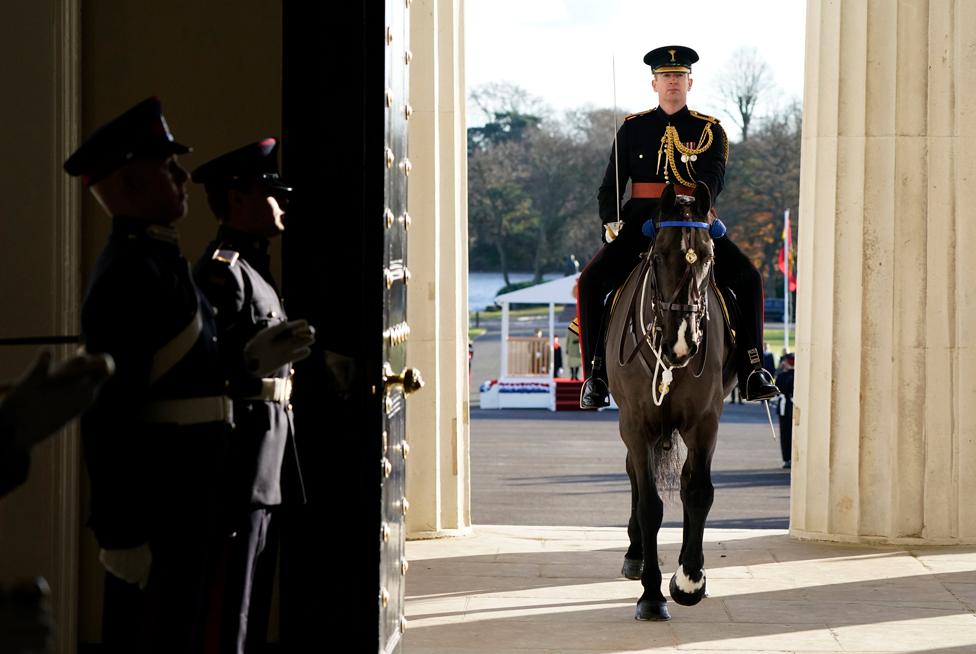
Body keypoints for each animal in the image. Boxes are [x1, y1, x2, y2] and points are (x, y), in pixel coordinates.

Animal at [608, 182, 736, 624]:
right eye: (660, 255)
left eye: (709, 255)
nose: (682, 343)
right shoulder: (635, 423)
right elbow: (650, 504)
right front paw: (651, 594)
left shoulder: (705, 421)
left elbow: (697, 491)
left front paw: (690, 580)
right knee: (633, 473)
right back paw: (635, 555)